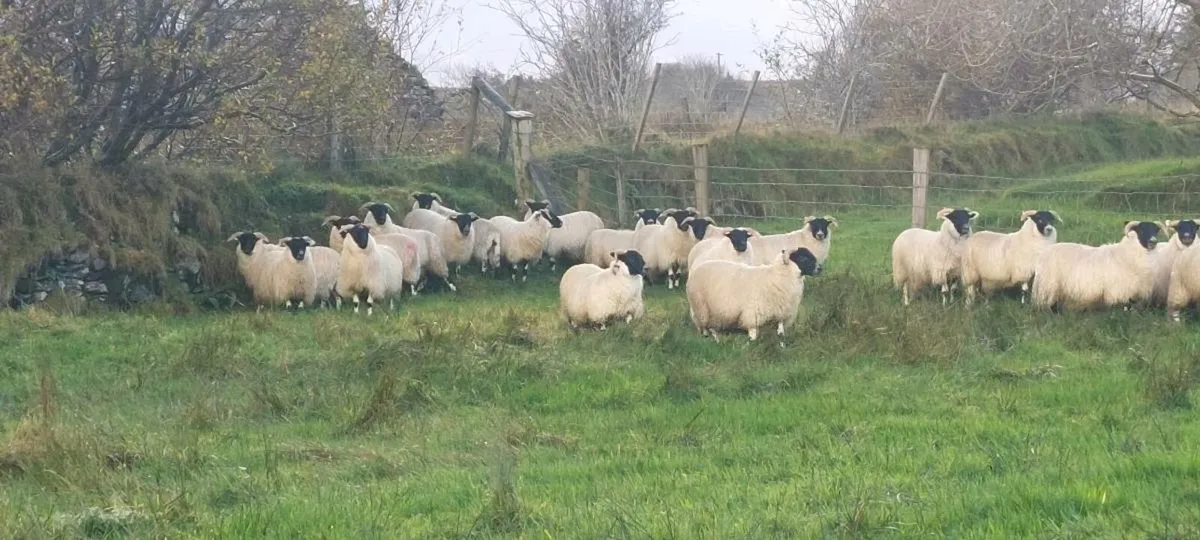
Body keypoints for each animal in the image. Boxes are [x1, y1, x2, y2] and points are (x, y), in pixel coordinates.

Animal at [686, 247, 823, 341]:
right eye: (803, 258)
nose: (820, 268)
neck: (777, 276)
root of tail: (696, 270)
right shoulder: (753, 313)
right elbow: (753, 333)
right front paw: (751, 342)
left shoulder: (780, 313)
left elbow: (780, 333)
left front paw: (782, 345)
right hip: (701, 308)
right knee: (704, 327)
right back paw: (709, 338)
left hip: (715, 312)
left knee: (712, 326)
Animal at [1032, 221, 1163, 311]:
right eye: (1141, 230)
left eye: (1155, 231)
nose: (1153, 242)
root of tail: (1043, 255)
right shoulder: (1117, 294)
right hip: (1048, 287)